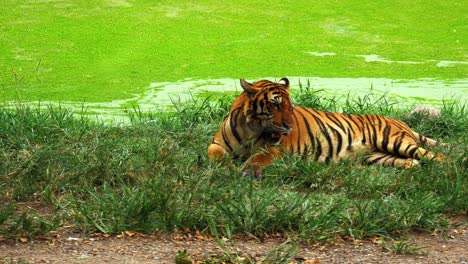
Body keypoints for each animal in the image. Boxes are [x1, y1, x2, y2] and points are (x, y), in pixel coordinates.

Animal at [207, 77, 444, 176]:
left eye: (290, 106)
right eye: (275, 104)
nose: (289, 126)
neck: (251, 128)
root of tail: (399, 120)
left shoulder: (273, 149)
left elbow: (254, 161)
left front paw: (240, 170)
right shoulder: (216, 143)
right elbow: (215, 154)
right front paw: (226, 166)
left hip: (394, 140)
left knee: (438, 156)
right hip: (378, 156)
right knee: (410, 161)